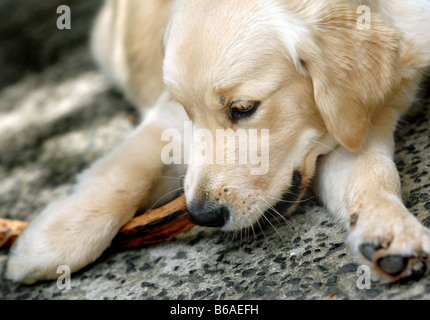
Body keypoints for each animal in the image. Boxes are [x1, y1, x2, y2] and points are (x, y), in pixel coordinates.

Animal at [5, 0, 430, 284]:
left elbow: (372, 175)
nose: (201, 216)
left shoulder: (357, 122)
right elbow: (123, 172)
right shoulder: (167, 118)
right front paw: (53, 240)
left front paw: (387, 231)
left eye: (243, 108)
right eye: (188, 110)